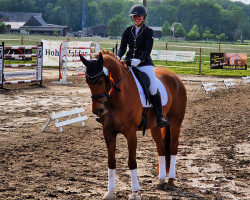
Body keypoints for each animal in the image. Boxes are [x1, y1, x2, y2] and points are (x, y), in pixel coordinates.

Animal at [79, 50, 187, 200]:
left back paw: (170, 180)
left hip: (175, 122)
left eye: (100, 81)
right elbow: (111, 161)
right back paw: (161, 180)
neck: (118, 97)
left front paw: (135, 193)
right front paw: (110, 192)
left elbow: (132, 162)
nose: (98, 110)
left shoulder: (130, 133)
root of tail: (174, 76)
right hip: (155, 126)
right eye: (87, 82)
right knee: (161, 148)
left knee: (173, 147)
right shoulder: (108, 132)